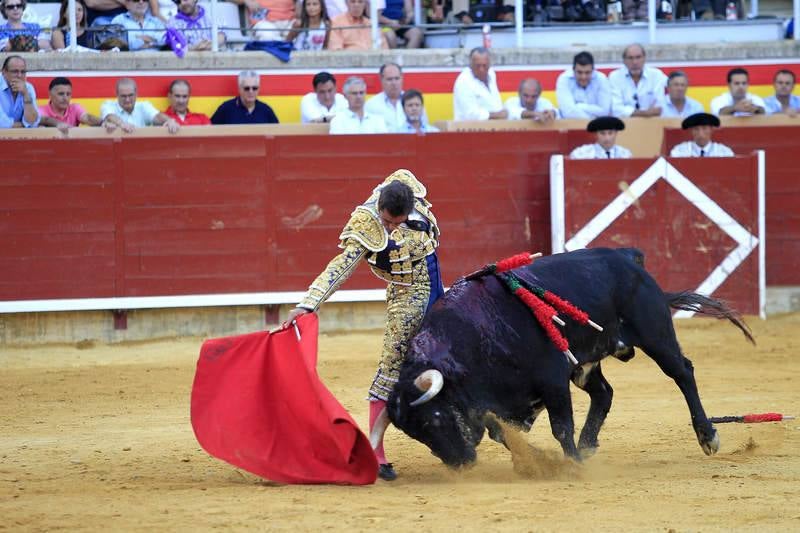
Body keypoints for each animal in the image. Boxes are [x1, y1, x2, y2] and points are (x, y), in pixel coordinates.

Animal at [390, 247, 752, 464]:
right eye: (414, 432)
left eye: (435, 417)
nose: (461, 463)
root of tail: (626, 256)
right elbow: (502, 432)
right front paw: (535, 461)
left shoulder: (552, 379)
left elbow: (560, 427)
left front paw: (571, 464)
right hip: (586, 363)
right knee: (604, 392)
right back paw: (589, 443)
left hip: (656, 335)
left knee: (683, 373)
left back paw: (707, 436)